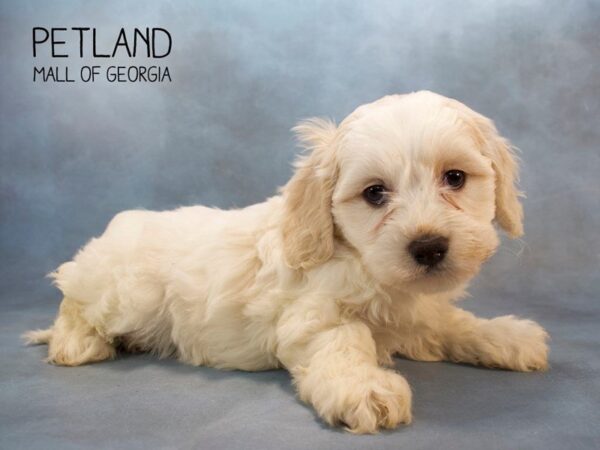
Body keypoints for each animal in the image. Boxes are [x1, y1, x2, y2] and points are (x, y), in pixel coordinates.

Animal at [23, 90, 548, 432]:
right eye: (375, 193)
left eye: (455, 178)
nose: (429, 247)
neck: (363, 262)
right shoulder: (313, 316)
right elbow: (345, 343)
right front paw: (364, 387)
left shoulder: (419, 311)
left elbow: (453, 323)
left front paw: (507, 336)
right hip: (123, 292)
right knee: (73, 299)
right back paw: (76, 343)